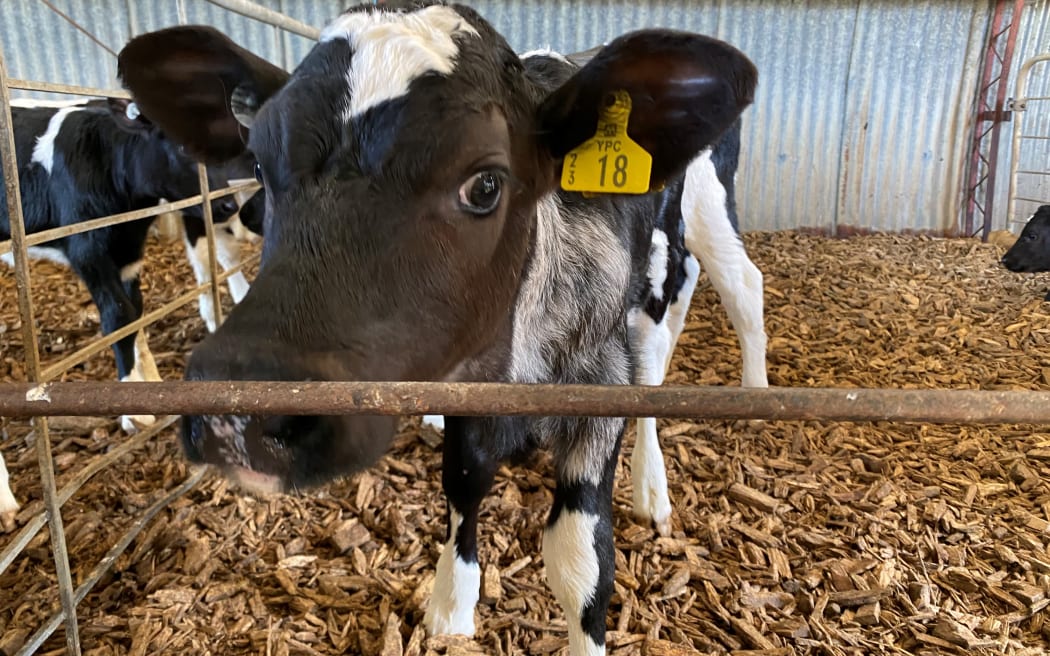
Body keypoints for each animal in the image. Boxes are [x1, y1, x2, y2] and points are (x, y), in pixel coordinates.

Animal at [119, 3, 760, 650]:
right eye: (257, 162)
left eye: (485, 184)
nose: (238, 410)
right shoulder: (466, 380)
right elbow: (464, 478)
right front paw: (453, 604)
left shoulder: (598, 384)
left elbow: (581, 562)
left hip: (695, 220)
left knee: (701, 312)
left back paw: (706, 436)